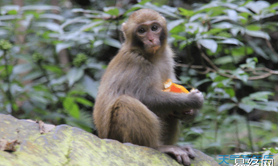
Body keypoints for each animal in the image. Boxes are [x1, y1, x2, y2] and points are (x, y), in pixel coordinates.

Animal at [93, 8, 204, 165]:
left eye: (154, 28)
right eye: (141, 30)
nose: (151, 39)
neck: (150, 56)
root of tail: (103, 137)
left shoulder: (167, 57)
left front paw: (190, 112)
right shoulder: (136, 63)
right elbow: (145, 97)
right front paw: (192, 100)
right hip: (117, 137)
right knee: (126, 102)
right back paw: (158, 147)